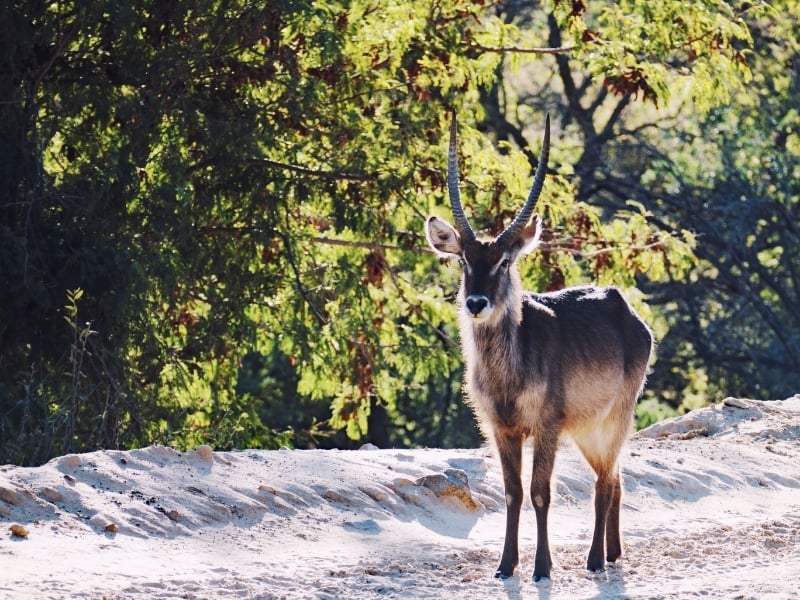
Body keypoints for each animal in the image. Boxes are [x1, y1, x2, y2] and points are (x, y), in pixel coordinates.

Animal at [424, 113, 648, 580]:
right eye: (464, 260)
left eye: (504, 261)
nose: (476, 302)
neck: (508, 372)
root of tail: (622, 305)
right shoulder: (502, 429)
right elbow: (513, 493)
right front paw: (505, 566)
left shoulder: (546, 426)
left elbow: (540, 492)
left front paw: (542, 567)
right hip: (586, 430)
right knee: (615, 478)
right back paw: (613, 552)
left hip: (615, 417)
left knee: (604, 483)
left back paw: (594, 559)